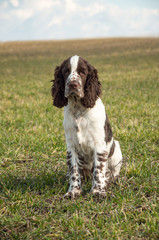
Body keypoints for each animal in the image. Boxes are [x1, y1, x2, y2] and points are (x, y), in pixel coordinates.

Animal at [51, 55, 122, 198]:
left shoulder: (99, 145)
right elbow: (74, 170)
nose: (72, 84)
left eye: (83, 72)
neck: (79, 109)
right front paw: (73, 191)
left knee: (110, 173)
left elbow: (99, 170)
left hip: (116, 150)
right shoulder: (71, 146)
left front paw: (97, 191)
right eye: (66, 71)